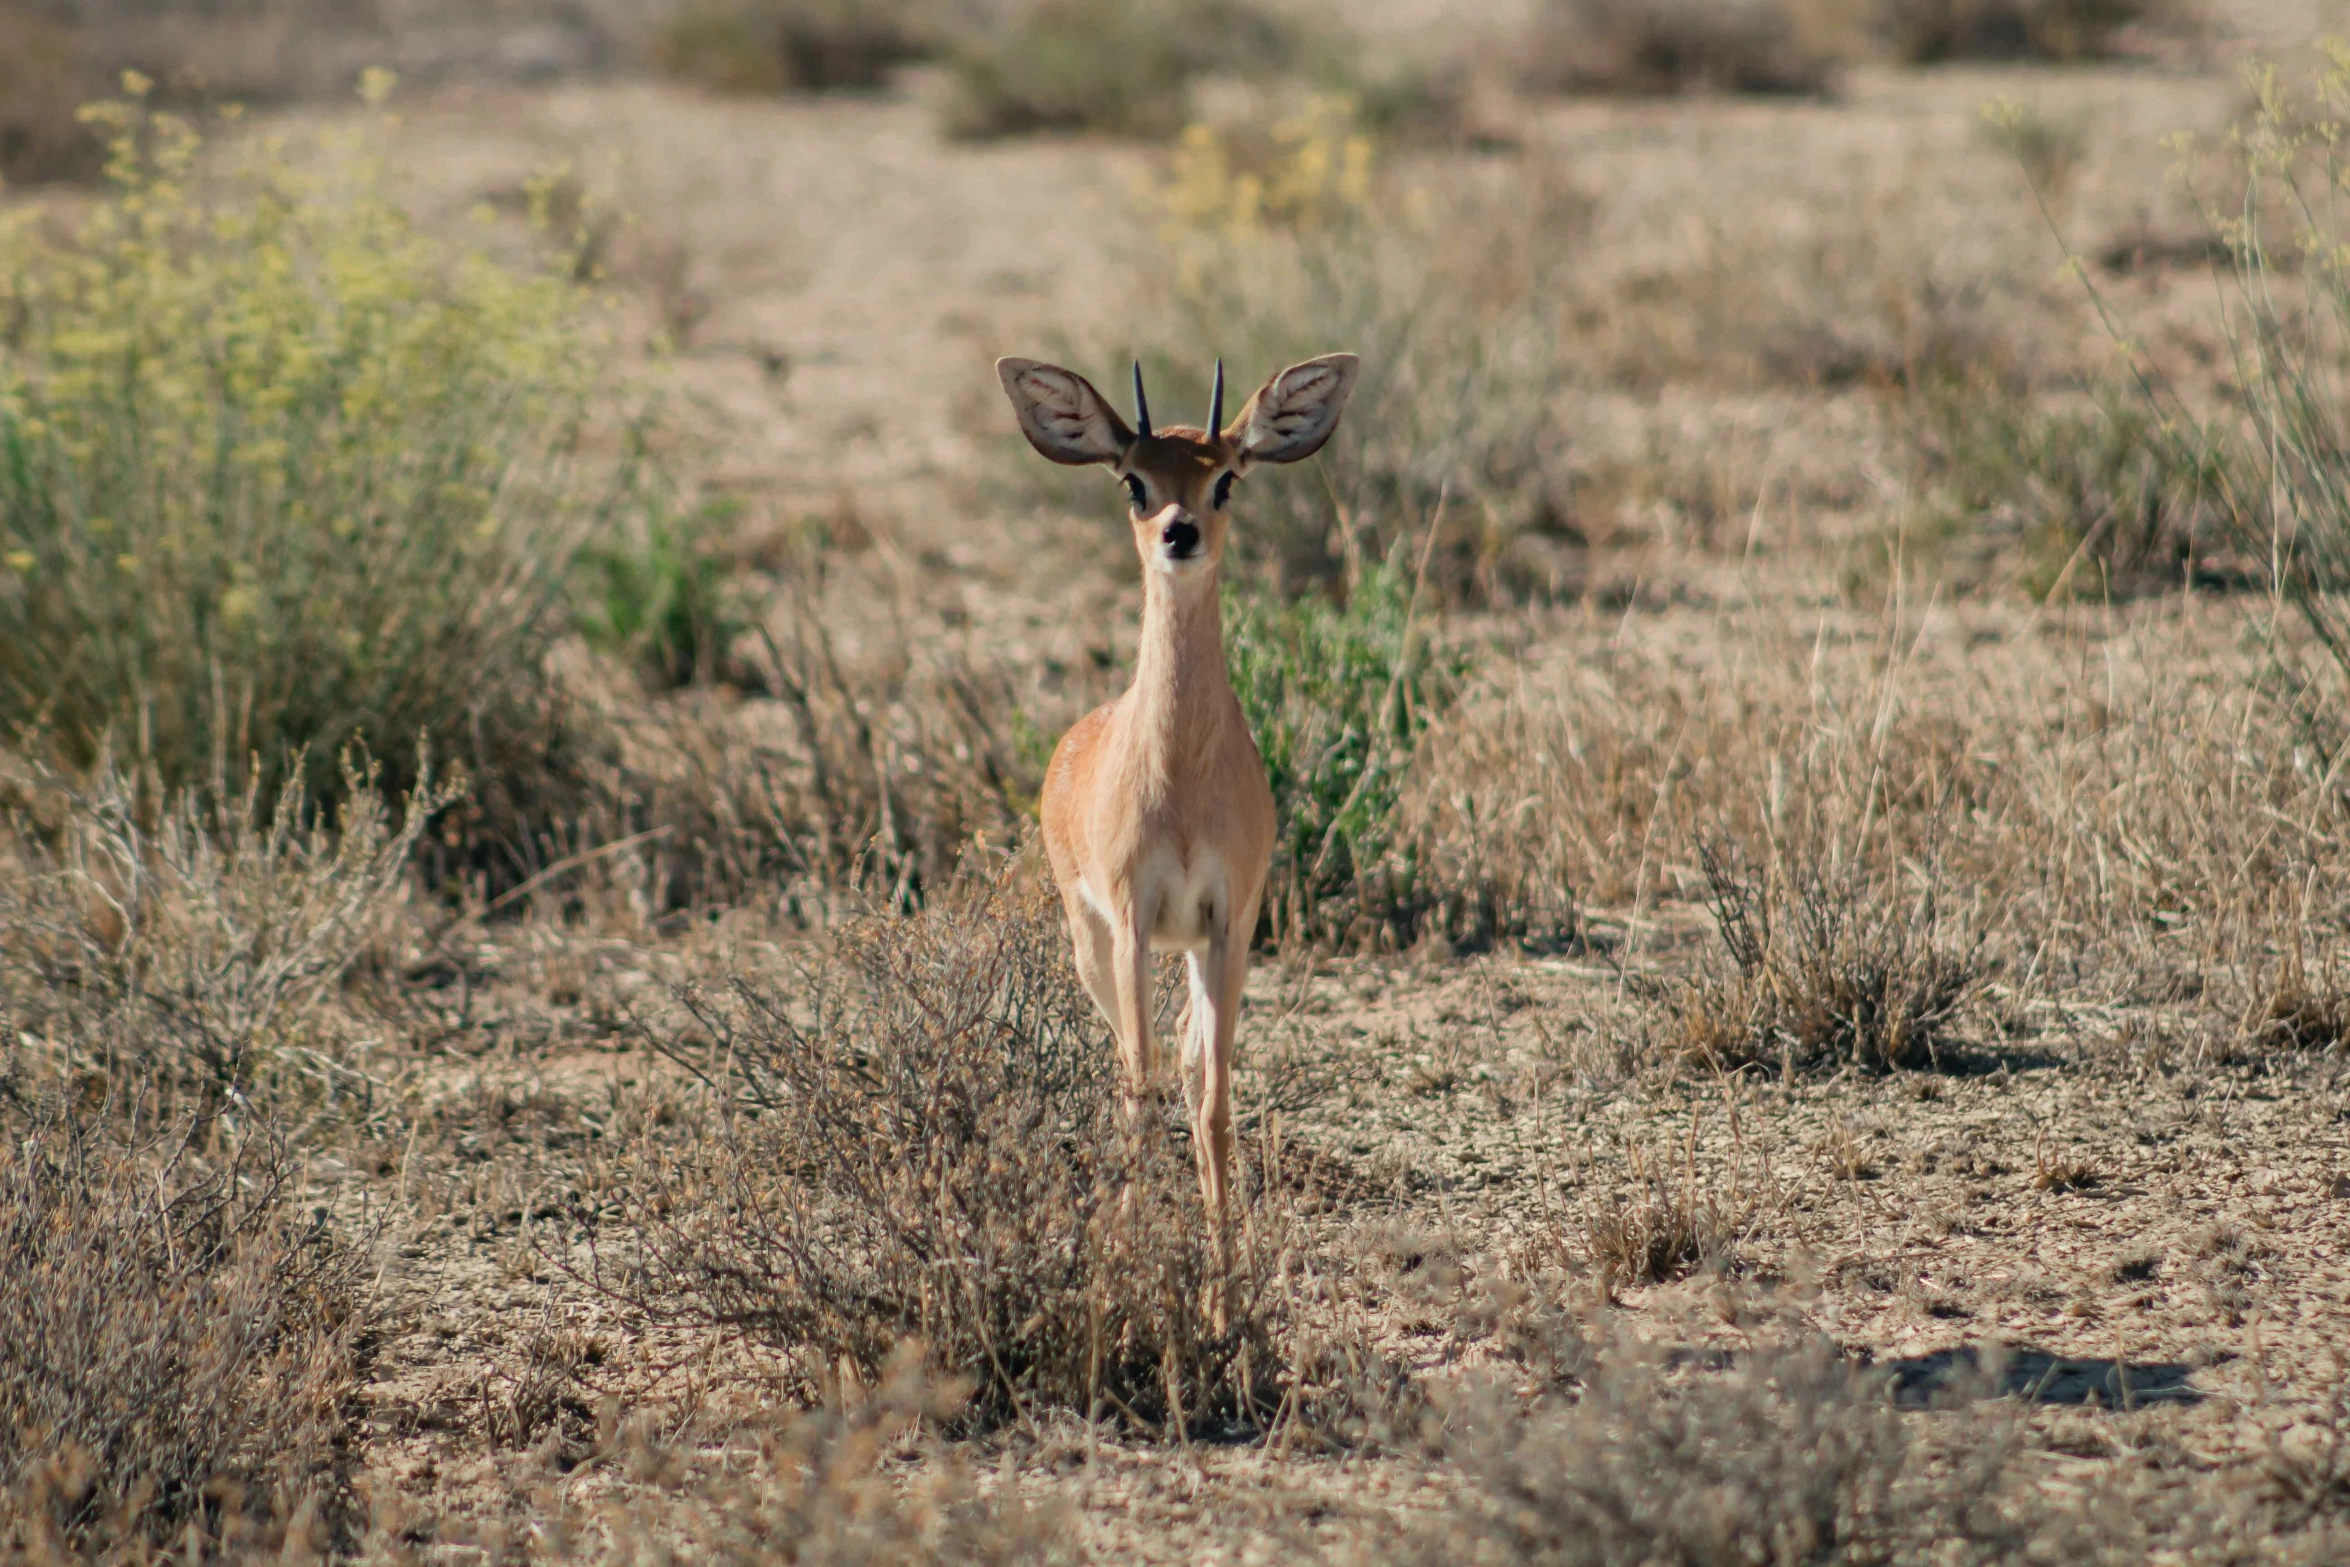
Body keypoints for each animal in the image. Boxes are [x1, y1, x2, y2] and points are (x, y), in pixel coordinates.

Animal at [991, 350, 1363, 1221]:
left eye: (1226, 477)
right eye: (1134, 479)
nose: (1178, 531)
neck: (1187, 784)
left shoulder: (1230, 921)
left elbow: (1214, 1100)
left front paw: (1224, 1257)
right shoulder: (1132, 919)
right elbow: (1139, 1092)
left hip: (1202, 950)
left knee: (1188, 1065)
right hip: (1090, 943)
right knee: (1134, 1067)